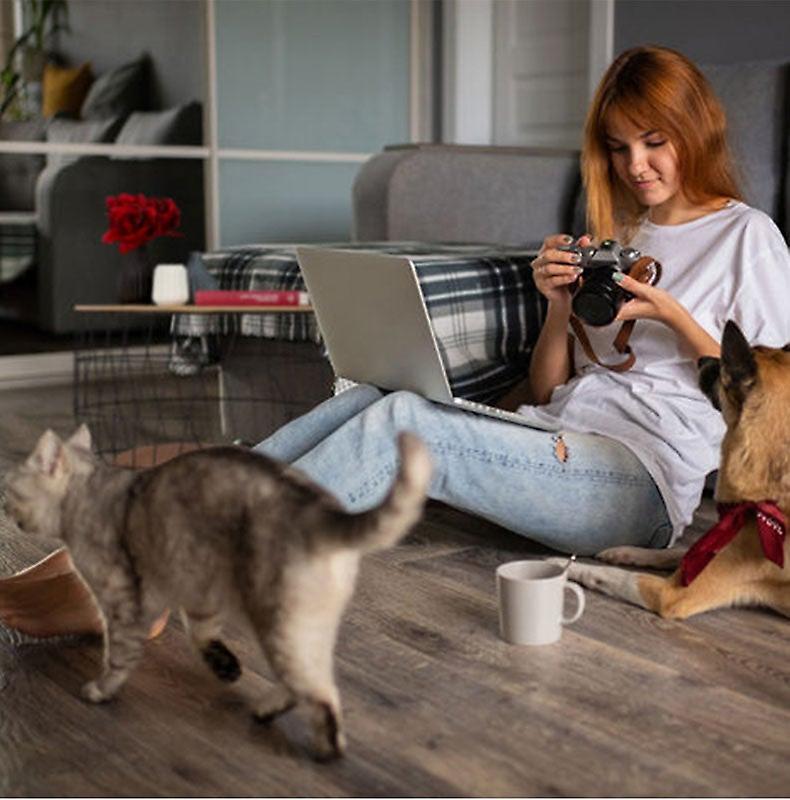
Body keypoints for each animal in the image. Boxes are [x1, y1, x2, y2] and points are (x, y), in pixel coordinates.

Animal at [3, 424, 434, 756]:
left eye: (10, 489)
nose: (4, 509)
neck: (90, 494)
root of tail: (322, 512)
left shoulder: (123, 601)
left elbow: (119, 655)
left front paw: (101, 690)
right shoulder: (198, 591)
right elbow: (201, 634)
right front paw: (226, 666)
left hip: (279, 624)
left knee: (320, 690)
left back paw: (326, 749)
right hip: (304, 628)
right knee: (305, 681)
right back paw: (266, 709)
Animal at [568, 320, 788, 620]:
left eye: (723, 364)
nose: (702, 358)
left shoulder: (668, 594)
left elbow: (614, 576)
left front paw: (567, 566)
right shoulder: (706, 551)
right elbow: (678, 553)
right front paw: (626, 552)